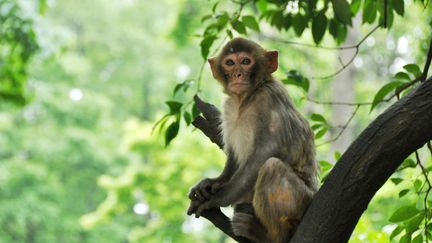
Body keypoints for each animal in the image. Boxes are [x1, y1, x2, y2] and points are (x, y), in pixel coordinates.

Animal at [187, 37, 318, 242]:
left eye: (246, 61)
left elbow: (265, 152)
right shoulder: (229, 107)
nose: (237, 74)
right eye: (230, 62)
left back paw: (266, 235)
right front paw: (211, 183)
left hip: (302, 203)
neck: (246, 98)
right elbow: (233, 154)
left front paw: (217, 198)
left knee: (272, 167)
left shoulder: (269, 98)